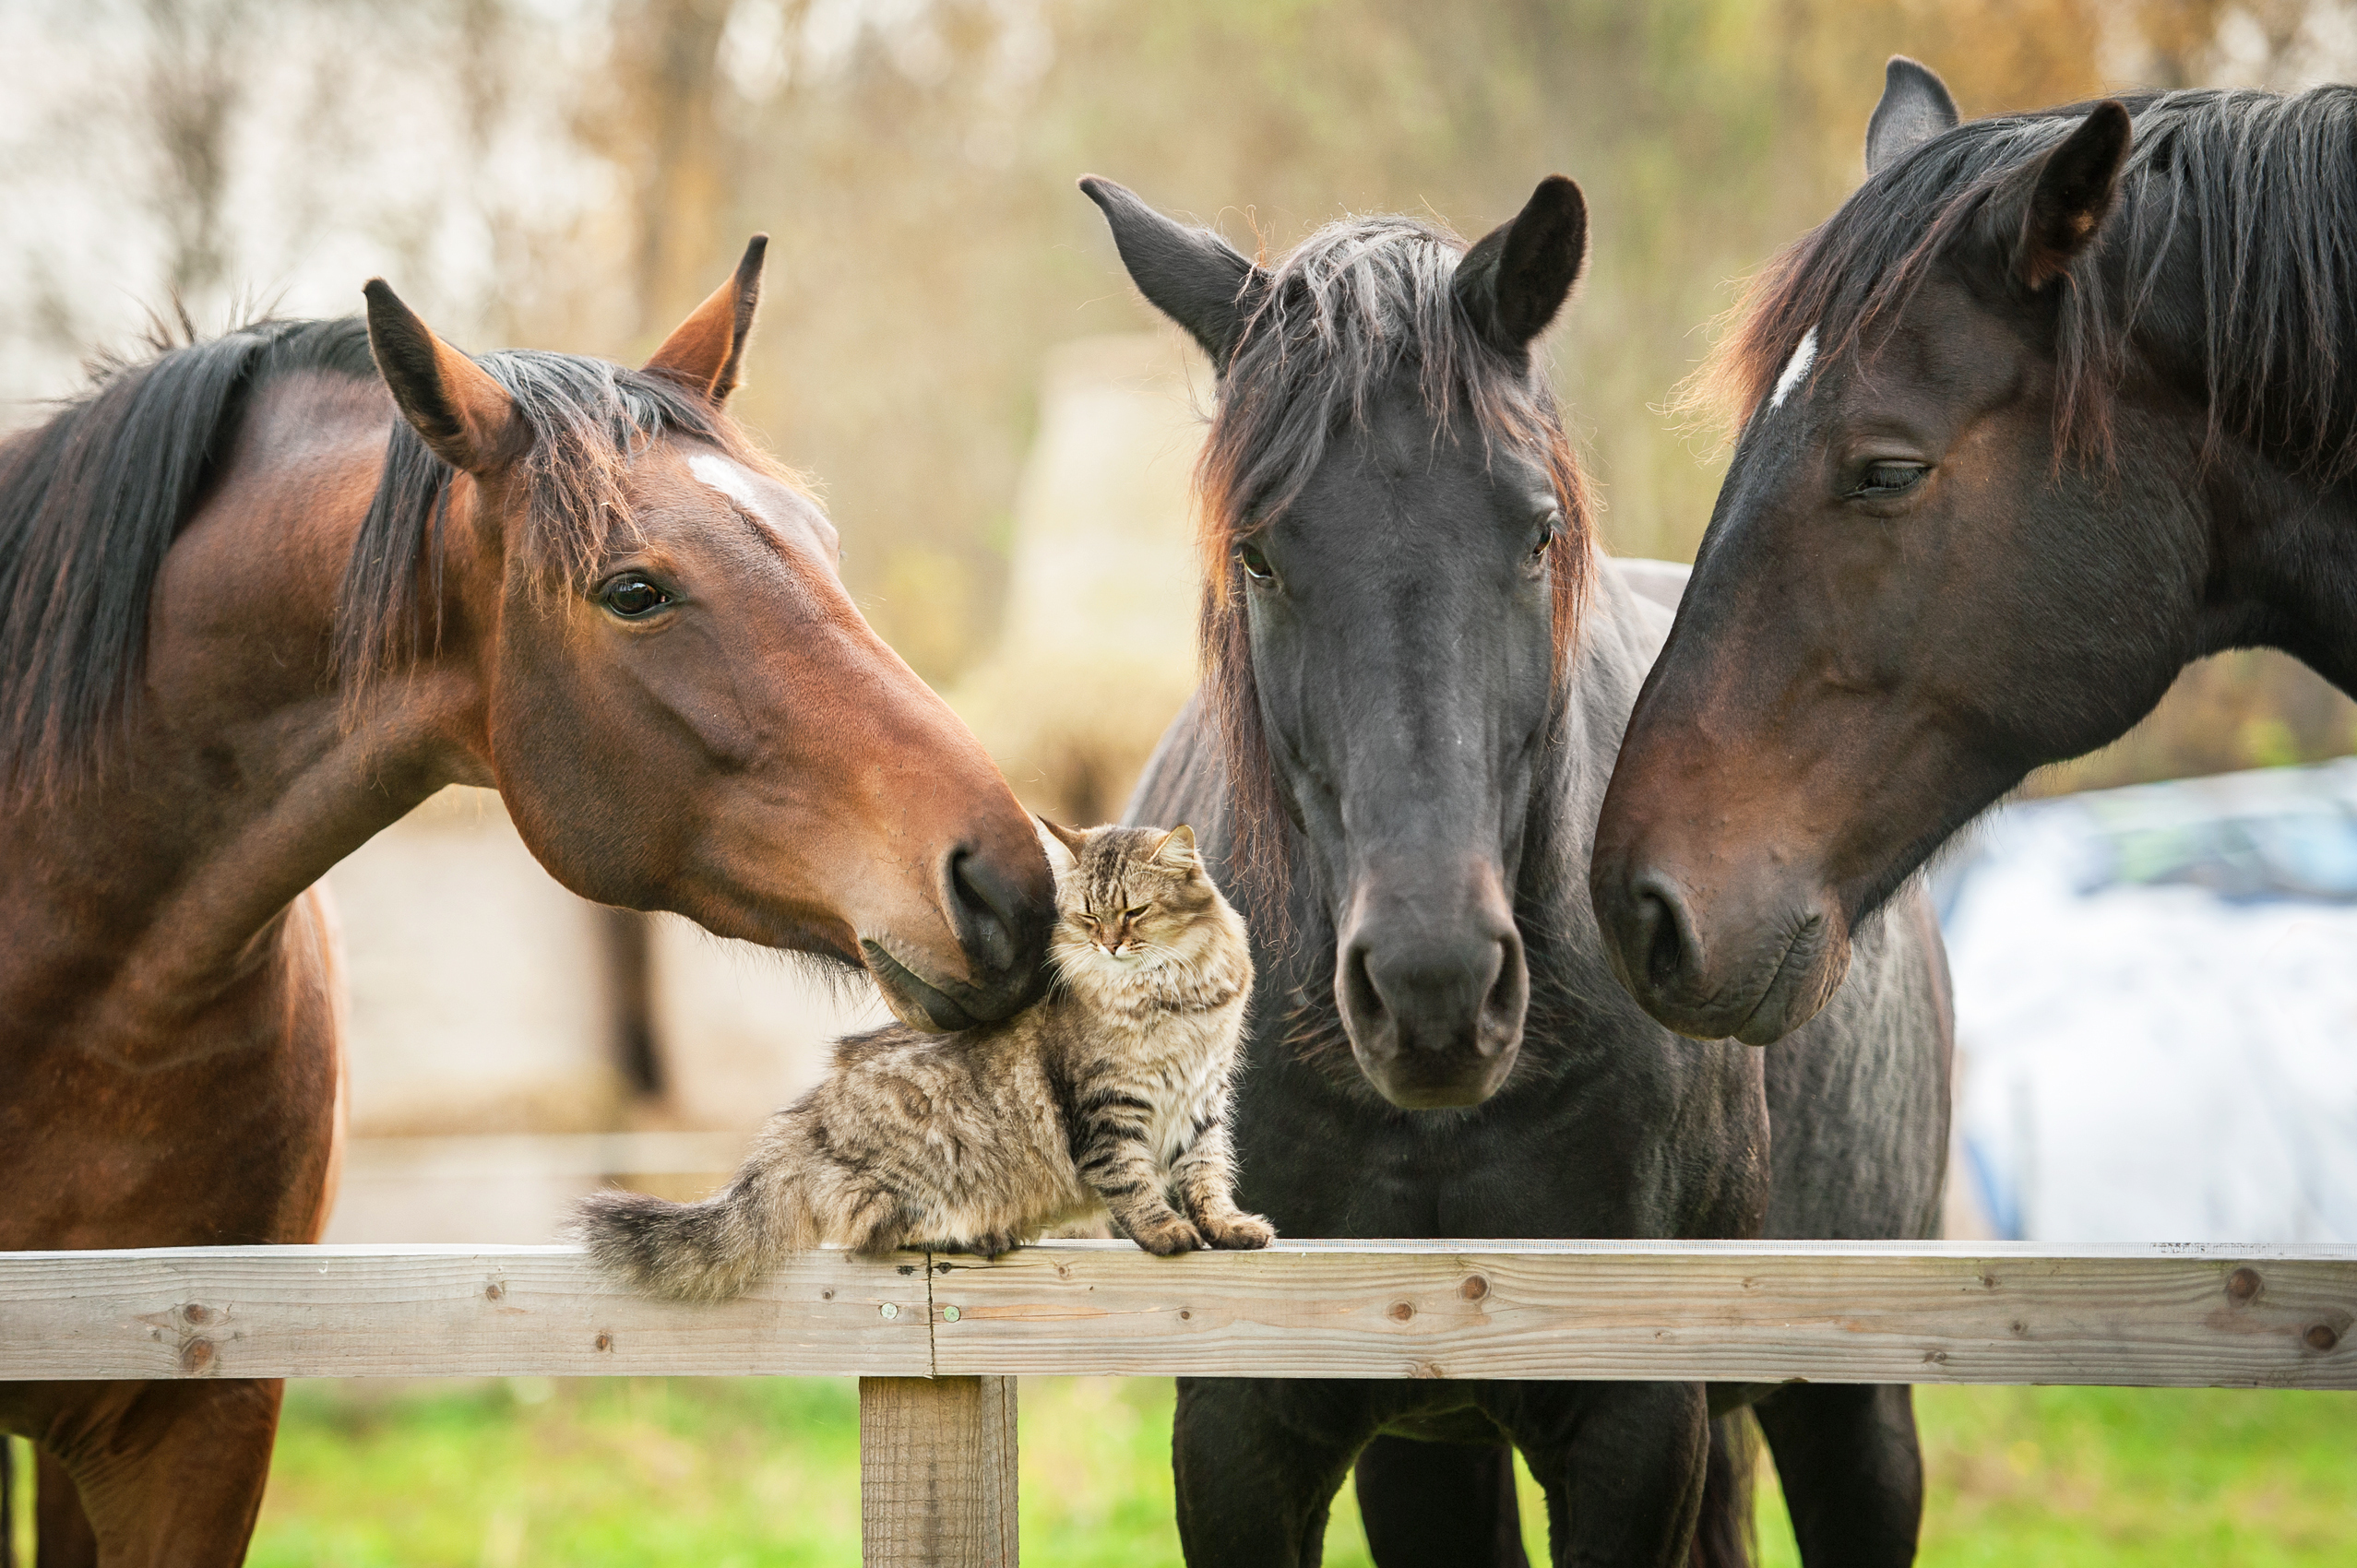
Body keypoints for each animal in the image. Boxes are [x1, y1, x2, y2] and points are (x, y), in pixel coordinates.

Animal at [572, 820, 1272, 1291]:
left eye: (1135, 912)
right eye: (1085, 917)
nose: (1108, 945)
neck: (1176, 1000)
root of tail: (805, 1126)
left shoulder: (1203, 1101)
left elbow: (1206, 1178)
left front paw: (1228, 1228)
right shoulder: (1107, 1109)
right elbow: (1134, 1182)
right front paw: (1167, 1234)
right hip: (913, 1163)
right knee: (869, 1233)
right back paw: (976, 1233)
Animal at [1084, 176, 1951, 1556]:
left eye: (1536, 532)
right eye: (1258, 552)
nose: (1432, 987)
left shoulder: (1636, 1426)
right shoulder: (1238, 1422)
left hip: (1847, 1415)